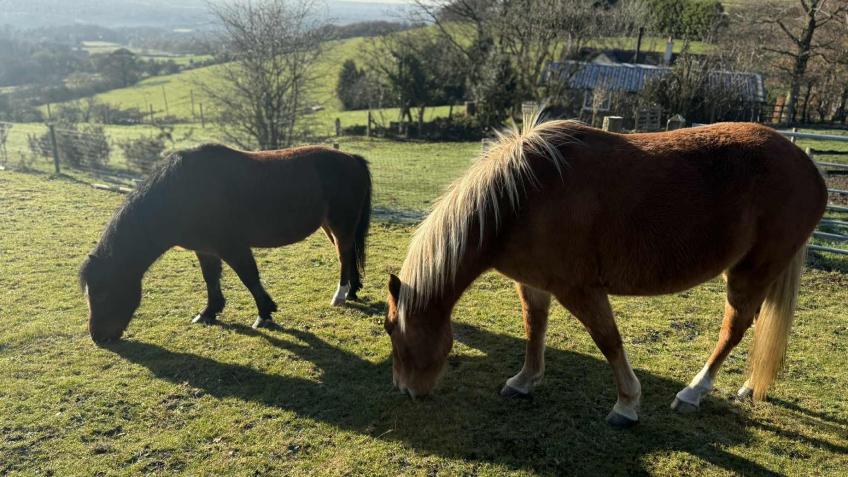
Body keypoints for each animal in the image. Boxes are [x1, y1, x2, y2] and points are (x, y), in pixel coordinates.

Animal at [80, 143, 371, 343]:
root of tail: (351, 159)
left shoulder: (233, 246)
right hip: (331, 226)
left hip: (340, 224)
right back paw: (352, 291)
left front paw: (264, 314)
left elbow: (249, 277)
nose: (98, 337)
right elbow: (211, 278)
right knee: (347, 254)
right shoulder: (206, 249)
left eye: (102, 292)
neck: (182, 193)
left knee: (344, 255)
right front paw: (209, 312)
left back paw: (340, 295)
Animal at [384, 115, 827, 427]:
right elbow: (534, 329)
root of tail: (808, 167)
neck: (519, 199)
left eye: (391, 330)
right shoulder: (534, 283)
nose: (404, 390)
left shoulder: (580, 289)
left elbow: (608, 341)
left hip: (750, 273)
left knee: (734, 328)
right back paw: (749, 386)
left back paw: (693, 393)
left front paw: (627, 405)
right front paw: (524, 382)